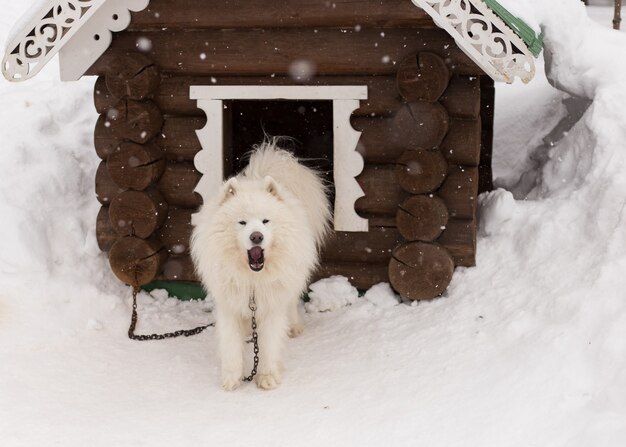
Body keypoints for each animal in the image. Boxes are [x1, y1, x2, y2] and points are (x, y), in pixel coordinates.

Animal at [189, 142, 330, 390]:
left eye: (265, 221)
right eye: (242, 222)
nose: (256, 236)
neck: (252, 280)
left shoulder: (272, 305)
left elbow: (269, 345)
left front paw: (266, 377)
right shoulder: (229, 304)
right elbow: (230, 346)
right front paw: (232, 379)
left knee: (291, 302)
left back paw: (293, 327)